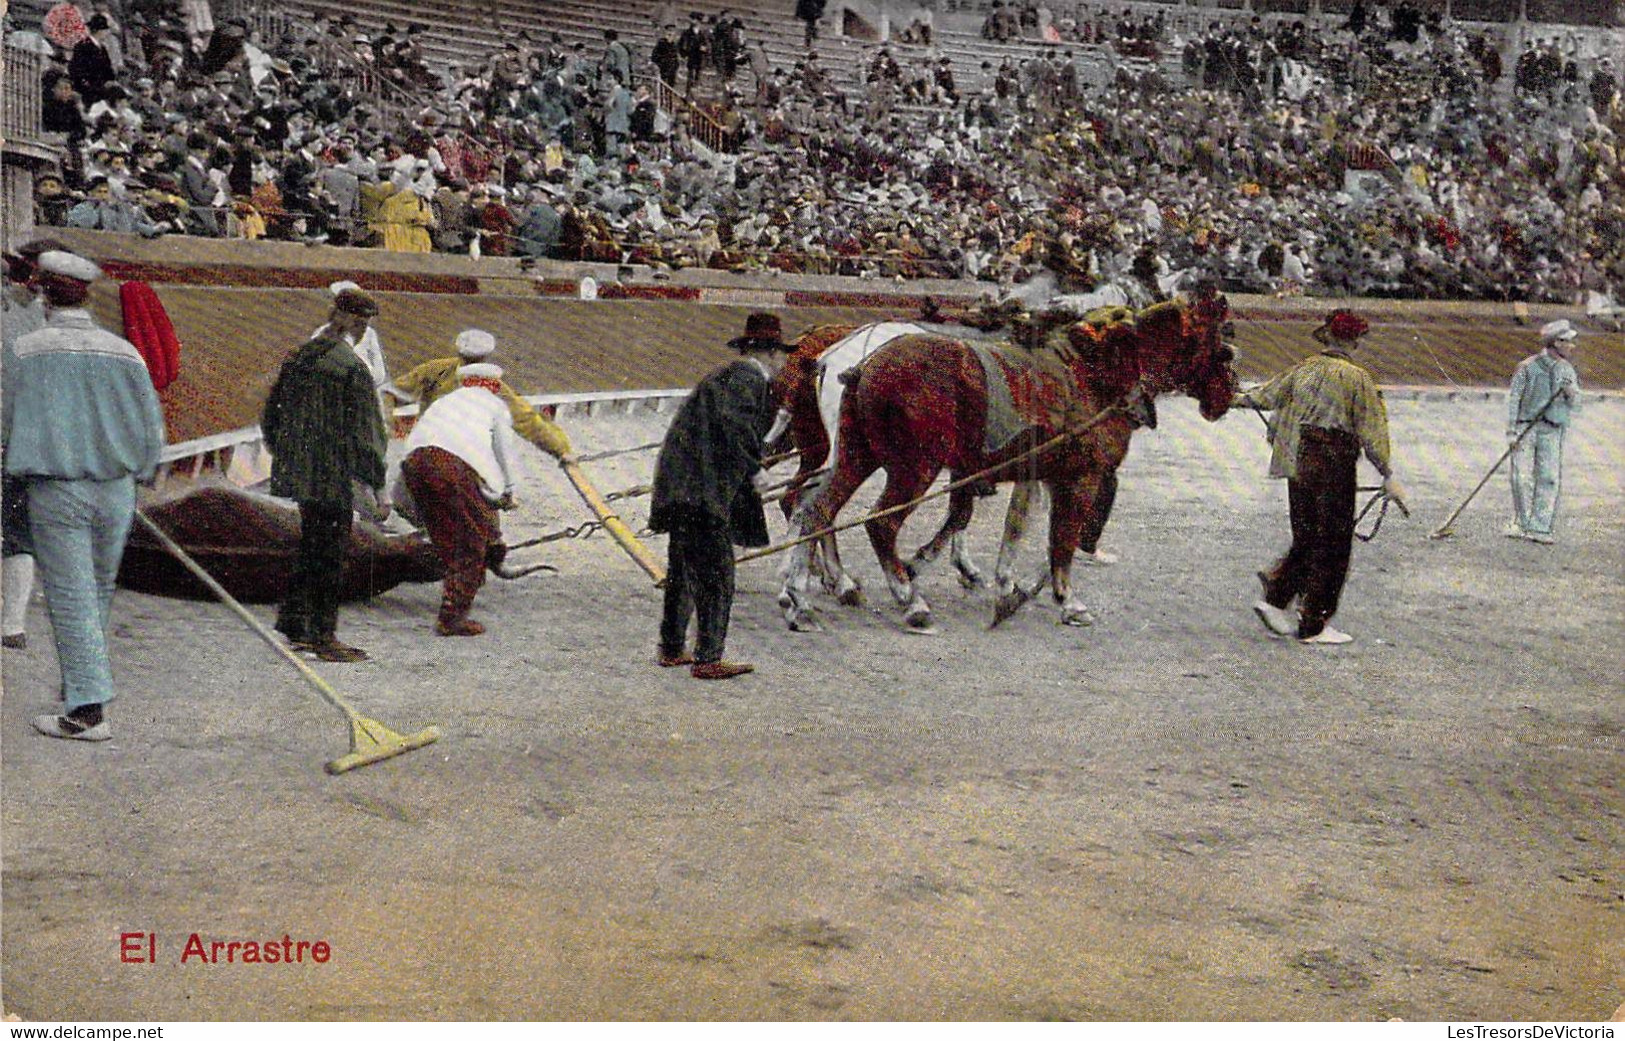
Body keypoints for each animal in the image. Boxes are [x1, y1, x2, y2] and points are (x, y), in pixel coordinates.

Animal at [780, 292, 1235, 633]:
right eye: (1225, 350)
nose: (1226, 399)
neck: (1093, 378)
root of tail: (861, 362)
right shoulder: (1081, 479)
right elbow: (1059, 541)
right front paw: (1067, 600)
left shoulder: (1036, 474)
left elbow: (1009, 527)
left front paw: (1003, 584)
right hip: (913, 468)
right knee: (879, 523)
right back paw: (909, 601)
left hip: (856, 455)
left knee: (815, 510)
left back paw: (803, 594)